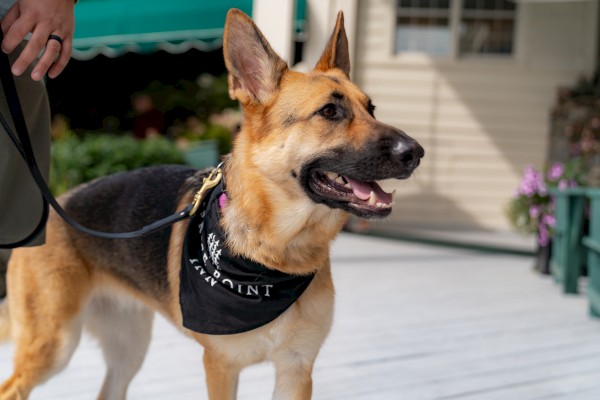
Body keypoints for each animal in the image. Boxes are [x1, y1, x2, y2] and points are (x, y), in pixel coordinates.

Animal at [0, 9, 422, 400]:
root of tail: (54, 209)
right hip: (55, 345)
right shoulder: (221, 367)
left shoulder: (296, 369)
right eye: (330, 112)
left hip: (128, 350)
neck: (273, 255)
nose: (416, 153)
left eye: (372, 109)